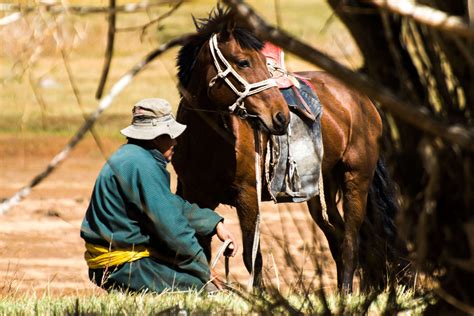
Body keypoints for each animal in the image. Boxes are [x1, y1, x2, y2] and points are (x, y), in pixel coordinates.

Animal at [172, 9, 398, 292]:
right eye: (243, 62)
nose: (281, 117)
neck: (208, 141)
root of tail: (363, 101)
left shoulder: (248, 197)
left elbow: (252, 257)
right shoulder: (195, 195)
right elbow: (201, 247)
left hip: (356, 179)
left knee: (350, 242)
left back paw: (346, 293)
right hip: (320, 191)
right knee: (337, 238)